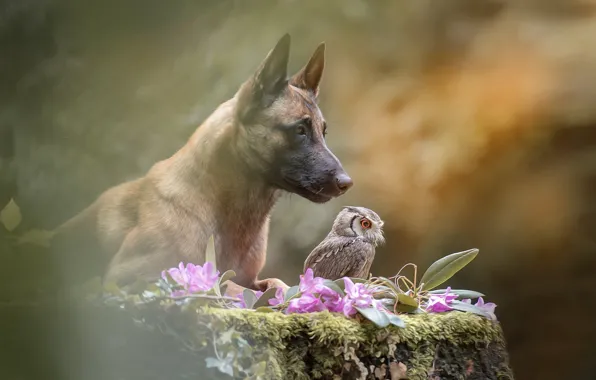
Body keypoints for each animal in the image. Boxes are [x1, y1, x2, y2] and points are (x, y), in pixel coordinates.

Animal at [53, 34, 352, 296]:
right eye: (300, 130)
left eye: (323, 131)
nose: (346, 183)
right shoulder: (131, 278)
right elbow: (225, 283)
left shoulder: (254, 278)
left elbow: (277, 283)